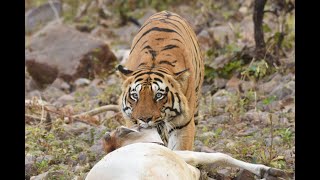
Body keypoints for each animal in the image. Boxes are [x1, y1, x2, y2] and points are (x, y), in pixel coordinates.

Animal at [116, 10, 204, 150]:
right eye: (135, 96)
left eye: (158, 95)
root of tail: (166, 12)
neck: (153, 64)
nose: (144, 119)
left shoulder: (183, 125)